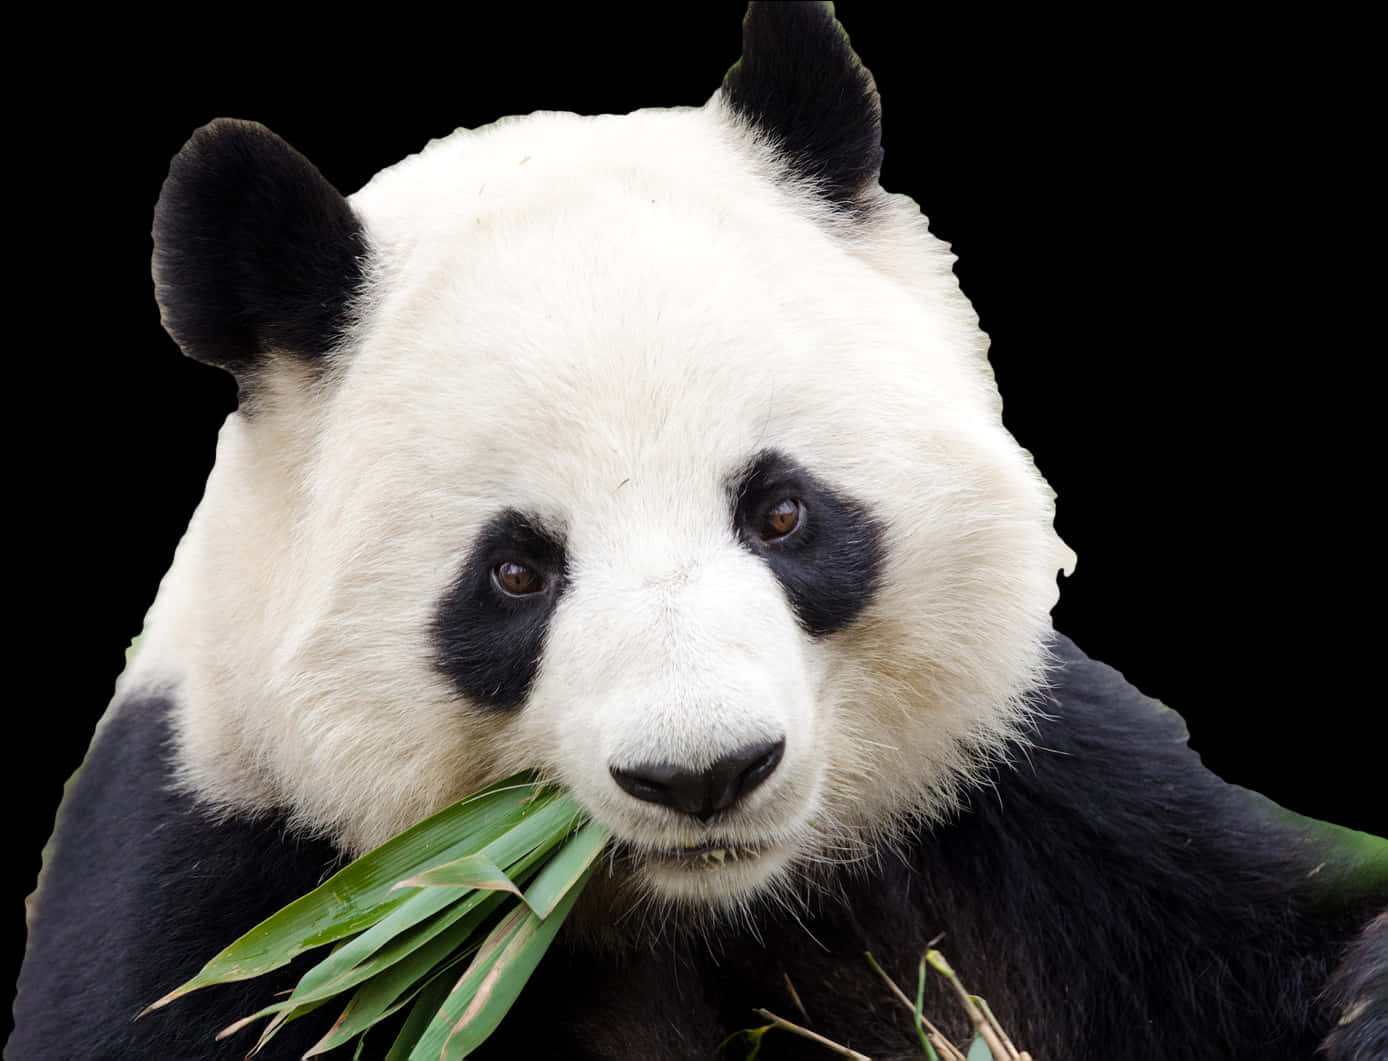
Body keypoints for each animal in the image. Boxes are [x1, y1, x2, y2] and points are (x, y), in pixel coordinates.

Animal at [13, 8, 1388, 1061]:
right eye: (514, 573)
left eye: (780, 511)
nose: (703, 773)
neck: (704, 903)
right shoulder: (235, 879)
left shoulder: (1043, 811)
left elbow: (1297, 928)